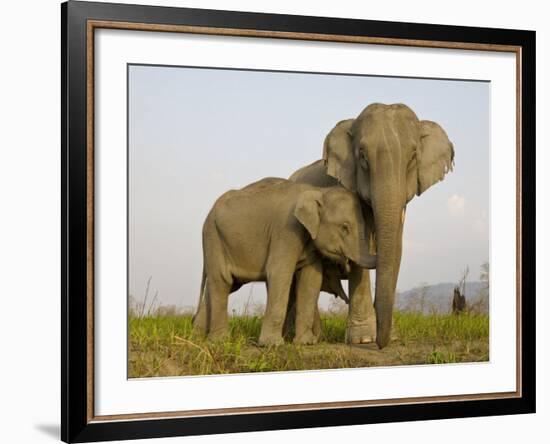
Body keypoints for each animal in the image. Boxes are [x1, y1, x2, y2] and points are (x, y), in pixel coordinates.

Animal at [192, 177, 378, 346]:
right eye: (344, 227)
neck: (318, 191)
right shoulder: (286, 230)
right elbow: (280, 273)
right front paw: (272, 344)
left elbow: (311, 280)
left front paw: (306, 343)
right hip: (213, 237)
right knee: (222, 280)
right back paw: (219, 341)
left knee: (226, 284)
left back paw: (199, 337)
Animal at [292, 102, 454, 348]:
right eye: (362, 156)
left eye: (413, 157)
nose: (381, 343)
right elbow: (362, 247)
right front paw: (364, 339)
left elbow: (395, 247)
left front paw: (392, 336)